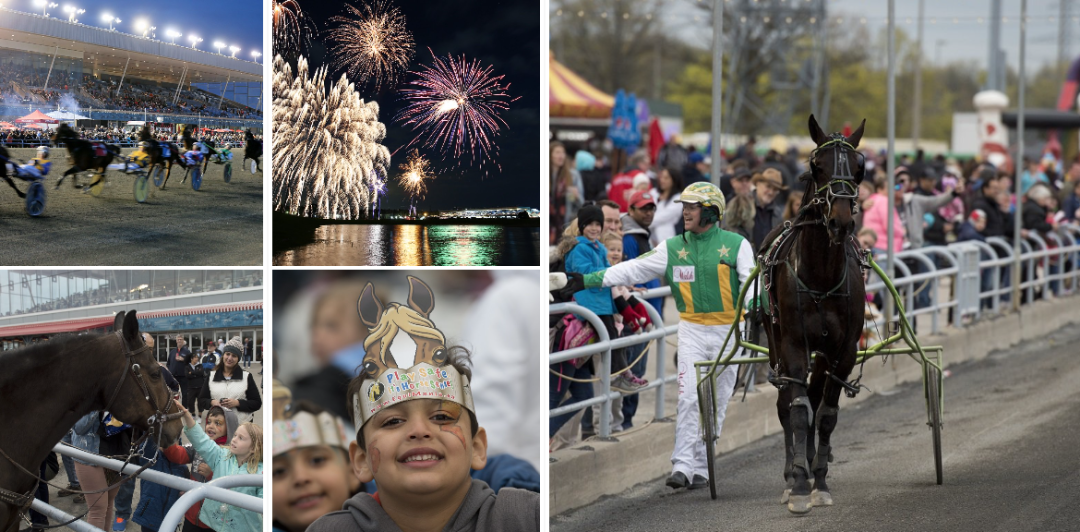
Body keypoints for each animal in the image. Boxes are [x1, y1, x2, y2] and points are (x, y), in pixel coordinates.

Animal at [760, 112, 868, 513]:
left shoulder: (843, 351)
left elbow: (825, 414)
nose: (840, 221)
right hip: (773, 338)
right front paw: (799, 484)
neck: (820, 275)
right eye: (815, 166)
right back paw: (792, 472)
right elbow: (796, 409)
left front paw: (819, 479)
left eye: (860, 168)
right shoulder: (793, 344)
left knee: (816, 394)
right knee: (787, 401)